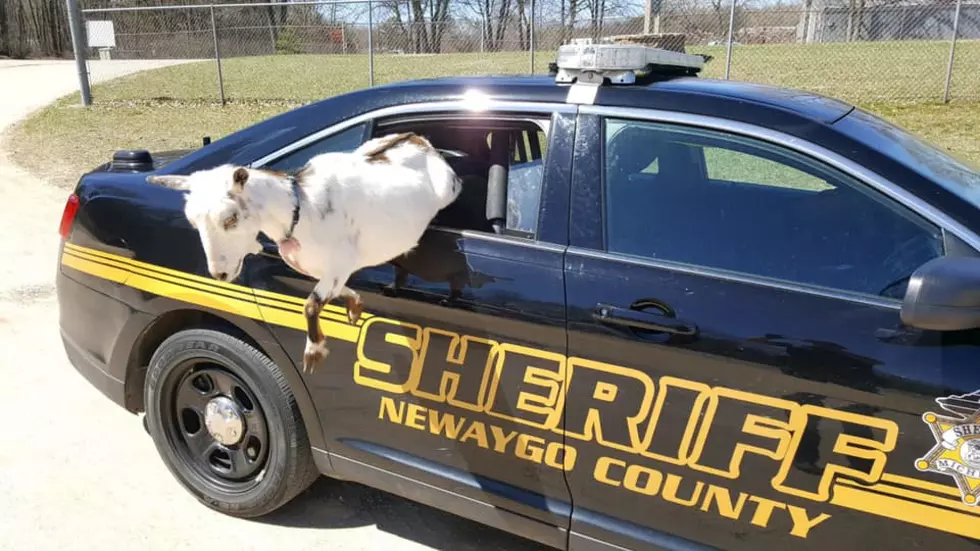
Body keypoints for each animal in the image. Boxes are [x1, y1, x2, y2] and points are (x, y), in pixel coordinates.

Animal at [148, 134, 464, 376]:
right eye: (193, 221)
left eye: (230, 218)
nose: (220, 273)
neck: (301, 210)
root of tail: (417, 139)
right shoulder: (323, 269)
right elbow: (333, 292)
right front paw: (355, 305)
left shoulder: (340, 262)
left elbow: (310, 305)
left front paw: (314, 352)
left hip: (450, 186)